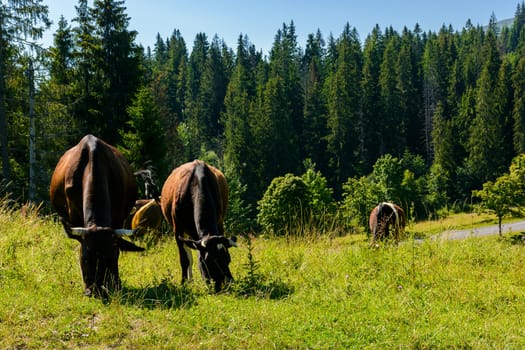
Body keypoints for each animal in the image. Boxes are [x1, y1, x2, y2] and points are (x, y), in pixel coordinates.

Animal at [159, 160, 234, 292]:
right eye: (209, 261)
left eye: (228, 258)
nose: (225, 284)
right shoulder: (178, 230)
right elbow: (184, 259)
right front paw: (183, 283)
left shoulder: (219, 223)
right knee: (189, 256)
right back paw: (189, 280)